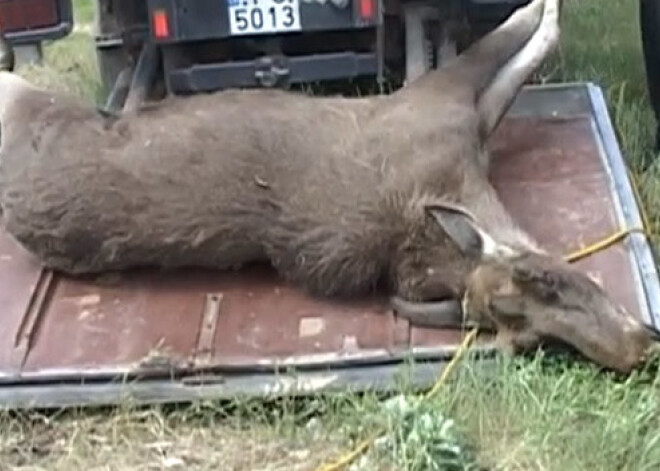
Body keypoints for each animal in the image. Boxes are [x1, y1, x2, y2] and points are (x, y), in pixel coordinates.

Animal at [0, 0, 656, 374]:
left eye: (540, 342)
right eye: (544, 285)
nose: (638, 347)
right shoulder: (445, 99)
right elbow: (523, 38)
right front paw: (548, 7)